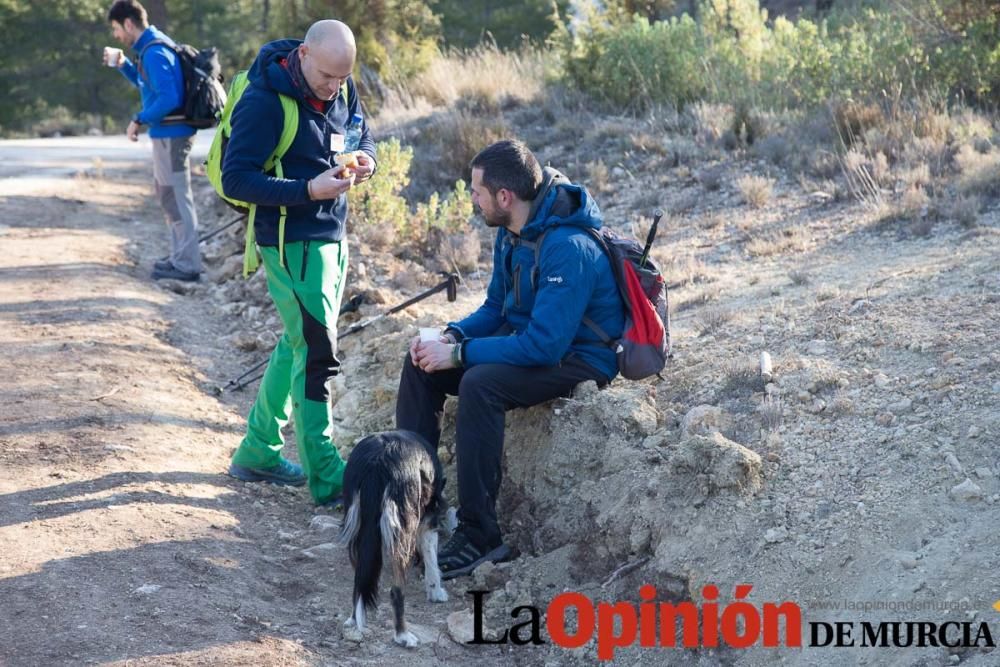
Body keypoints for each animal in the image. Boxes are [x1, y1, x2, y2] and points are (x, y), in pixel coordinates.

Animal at [340, 430, 450, 648]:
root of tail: (378, 461)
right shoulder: (428, 519)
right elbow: (432, 559)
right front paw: (436, 591)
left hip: (357, 526)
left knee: (360, 580)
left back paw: (354, 620)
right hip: (404, 527)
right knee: (396, 590)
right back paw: (403, 635)